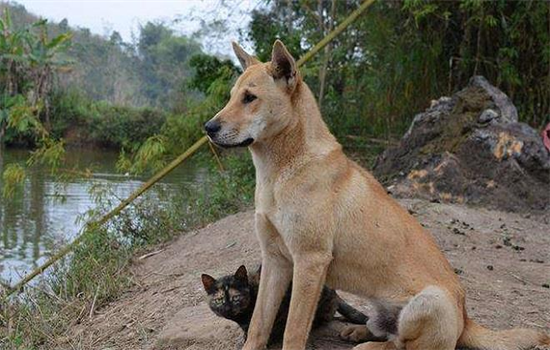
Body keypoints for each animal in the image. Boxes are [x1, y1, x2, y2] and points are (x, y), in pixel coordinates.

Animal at [201, 264, 368, 344]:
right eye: (219, 300)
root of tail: (336, 294)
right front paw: (246, 336)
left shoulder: (282, 305)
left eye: (236, 298)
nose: (227, 308)